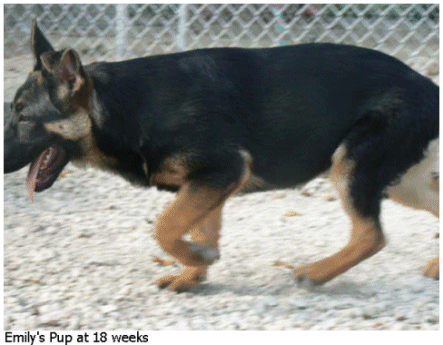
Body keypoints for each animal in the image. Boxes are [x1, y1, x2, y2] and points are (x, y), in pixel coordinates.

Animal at [4, 20, 440, 290]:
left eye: (23, 117)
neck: (128, 106)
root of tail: (426, 85)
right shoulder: (208, 182)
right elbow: (197, 227)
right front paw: (194, 272)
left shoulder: (220, 171)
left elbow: (165, 227)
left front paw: (196, 258)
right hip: (400, 183)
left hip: (351, 167)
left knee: (371, 235)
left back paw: (315, 273)